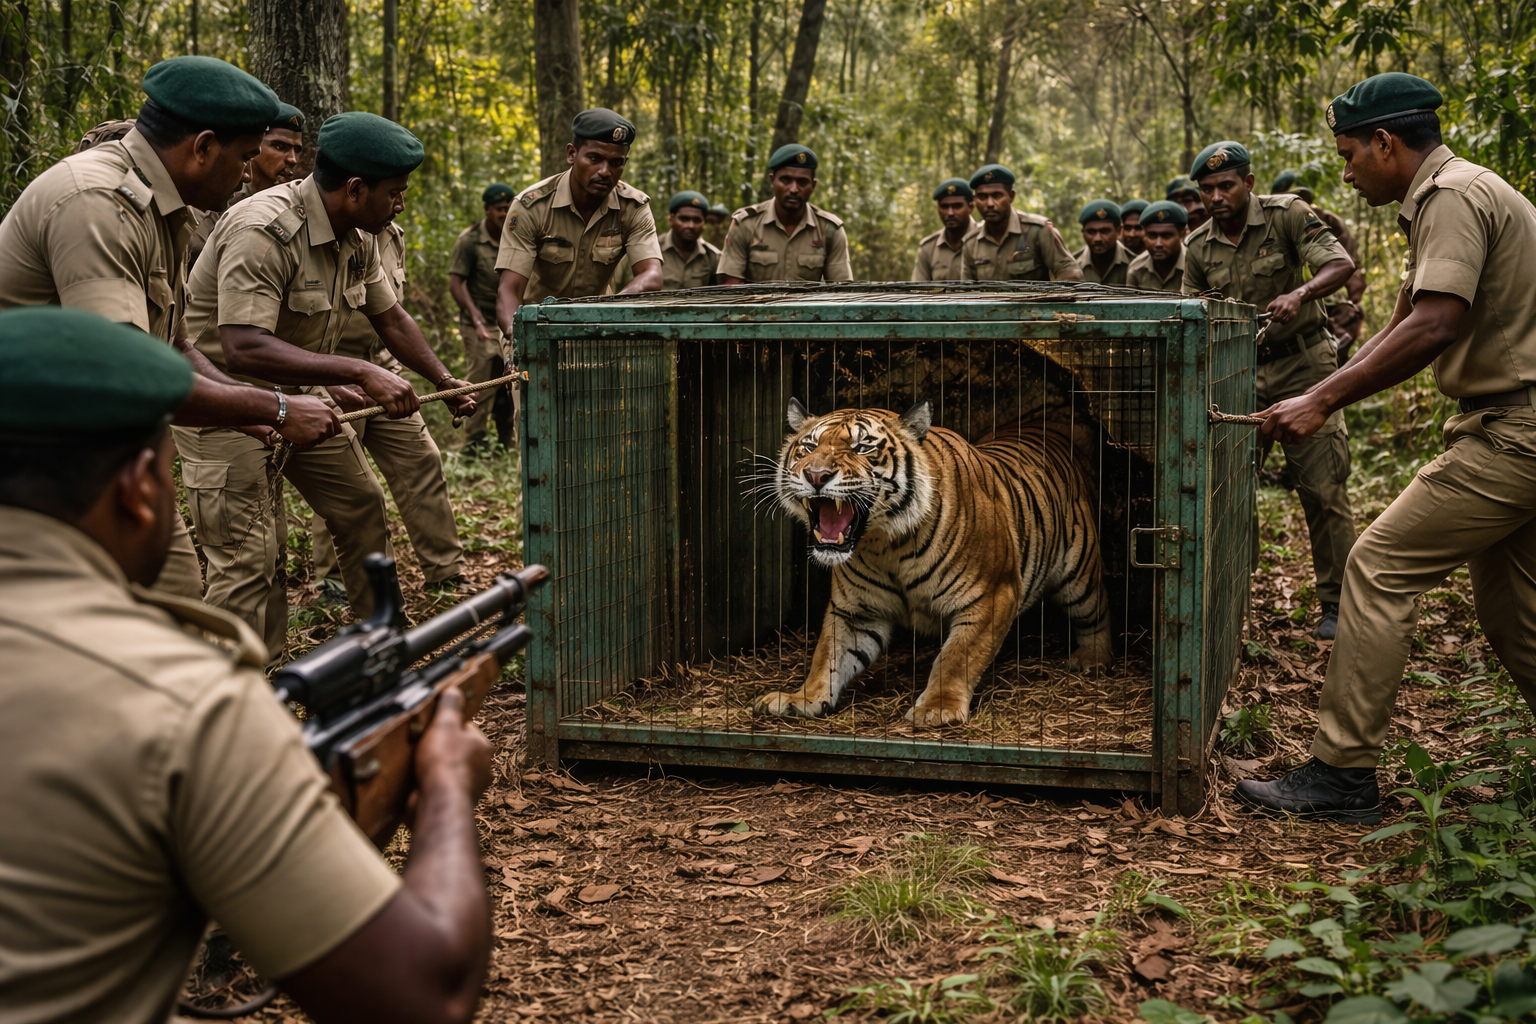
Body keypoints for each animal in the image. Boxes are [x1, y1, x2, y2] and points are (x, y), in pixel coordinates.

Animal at [753, 398, 1113, 726]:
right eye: (809, 447)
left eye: (863, 447)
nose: (816, 475)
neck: (884, 544)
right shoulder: (855, 610)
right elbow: (827, 655)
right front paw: (801, 698)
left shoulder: (992, 595)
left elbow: (956, 657)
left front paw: (937, 708)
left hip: (1080, 575)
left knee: (1097, 614)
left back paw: (1092, 659)